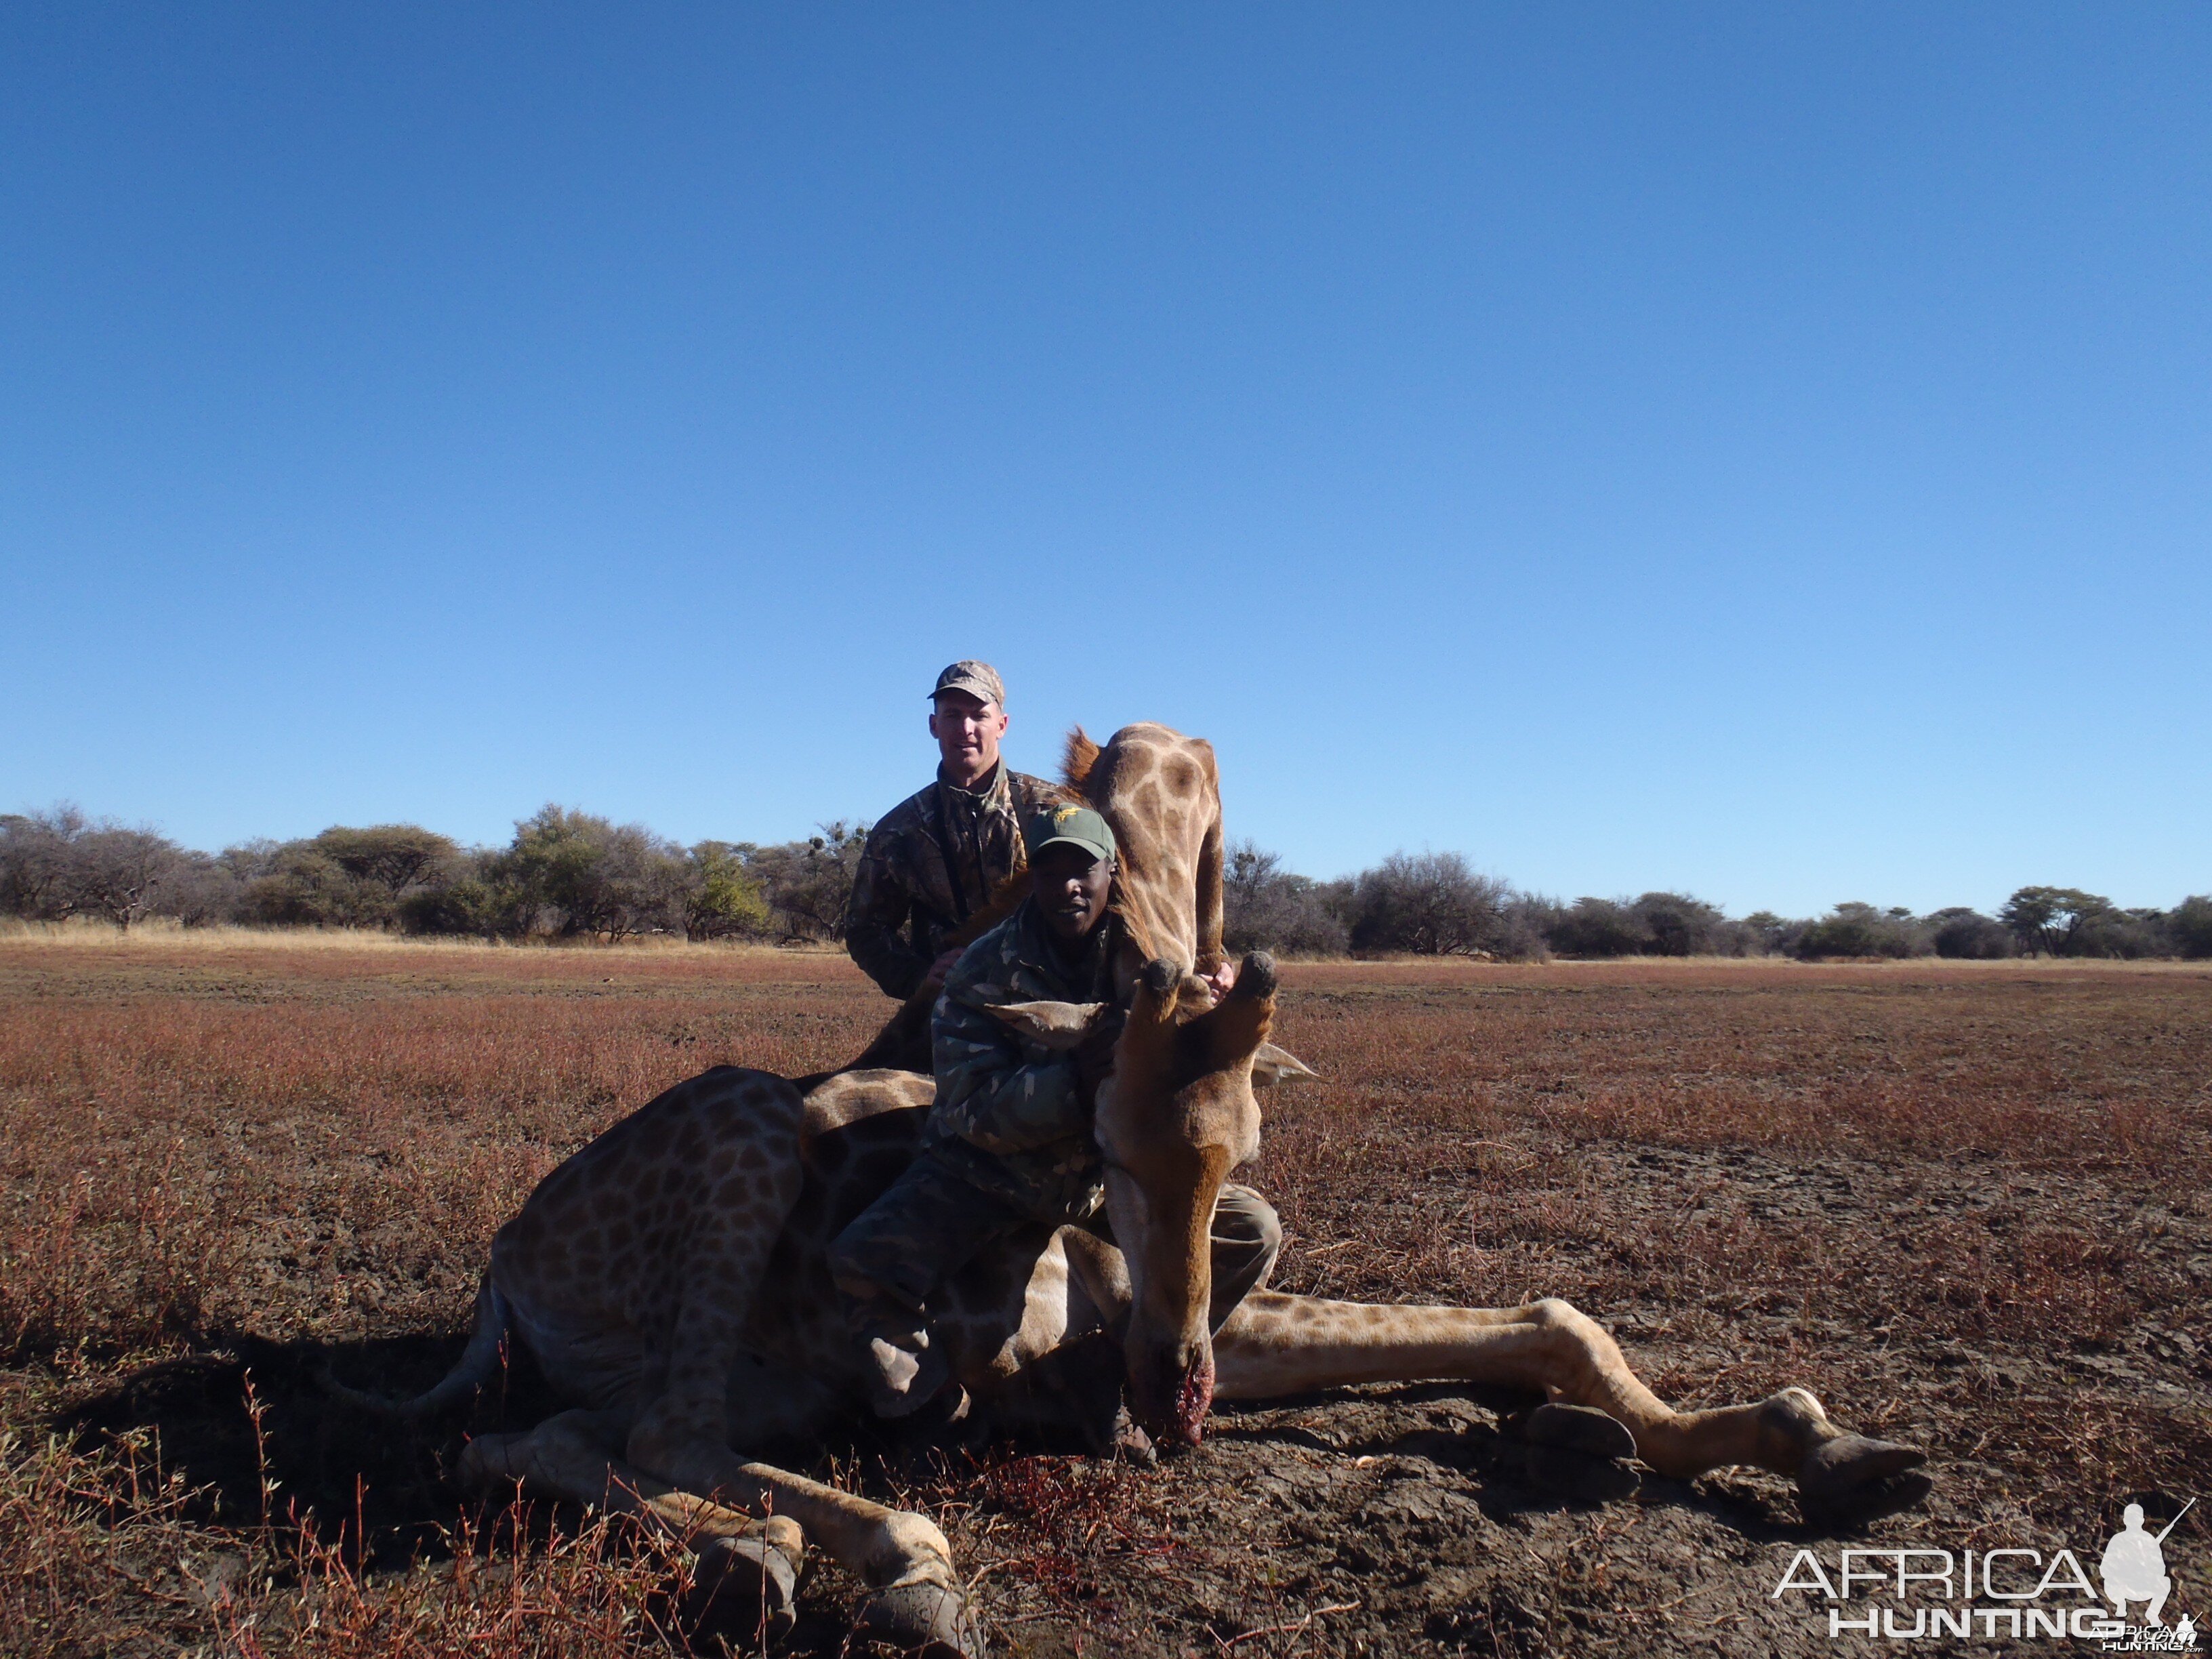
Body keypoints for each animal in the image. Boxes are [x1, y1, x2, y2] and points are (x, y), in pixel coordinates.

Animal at [323, 725, 1920, 1659]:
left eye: (1243, 1152)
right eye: (1105, 1138)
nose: (1173, 1385)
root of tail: (503, 1254)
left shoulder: (1191, 1312)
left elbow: (1550, 1318)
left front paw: (1822, 1443)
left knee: (537, 1442)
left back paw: (758, 1552)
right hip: (745, 1140)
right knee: (656, 1433)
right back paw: (862, 1563)